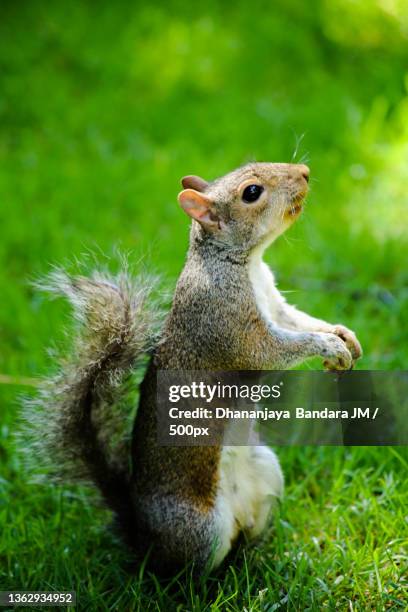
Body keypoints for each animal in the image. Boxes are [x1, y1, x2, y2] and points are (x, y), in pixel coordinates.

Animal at [32, 161, 364, 572]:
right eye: (252, 192)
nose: (304, 171)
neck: (241, 264)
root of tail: (141, 536)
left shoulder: (274, 305)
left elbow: (300, 320)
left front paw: (342, 335)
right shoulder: (230, 324)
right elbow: (275, 349)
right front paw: (328, 344)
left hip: (267, 472)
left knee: (246, 538)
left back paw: (265, 558)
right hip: (198, 529)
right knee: (192, 569)